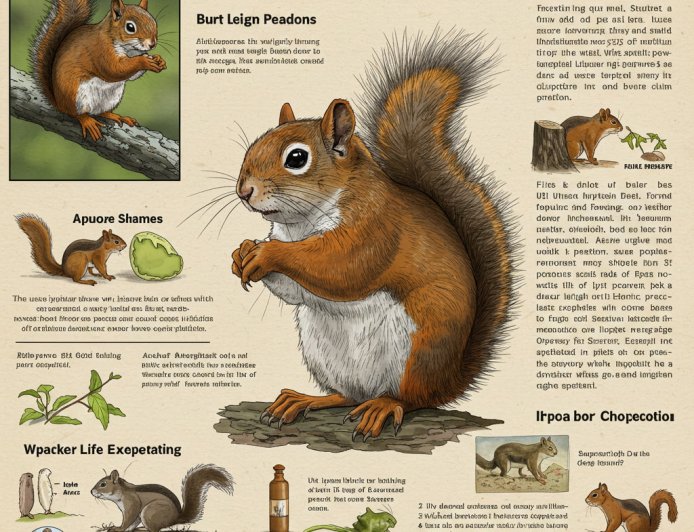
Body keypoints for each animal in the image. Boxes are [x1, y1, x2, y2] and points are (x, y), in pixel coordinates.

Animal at [30, 0, 166, 141]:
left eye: (154, 22)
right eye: (130, 27)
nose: (152, 44)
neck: (129, 49)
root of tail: (58, 102)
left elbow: (131, 76)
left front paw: (159, 60)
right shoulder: (101, 50)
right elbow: (114, 69)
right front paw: (144, 61)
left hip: (111, 98)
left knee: (101, 112)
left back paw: (116, 116)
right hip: (74, 96)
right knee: (75, 113)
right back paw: (87, 121)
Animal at [91, 465, 233, 532]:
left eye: (103, 484)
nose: (91, 491)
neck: (122, 491)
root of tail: (175, 519)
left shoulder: (132, 504)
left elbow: (128, 519)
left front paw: (118, 528)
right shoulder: (134, 512)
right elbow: (132, 522)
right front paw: (127, 529)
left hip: (150, 512)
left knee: (155, 530)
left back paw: (143, 529)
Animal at [230, 30, 517, 440]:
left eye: (297, 158)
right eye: (255, 144)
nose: (244, 191)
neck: (300, 225)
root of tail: (450, 379)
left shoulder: (375, 229)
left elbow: (341, 268)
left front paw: (266, 254)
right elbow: (296, 291)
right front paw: (242, 253)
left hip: (419, 352)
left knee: (412, 399)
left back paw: (383, 407)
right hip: (324, 354)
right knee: (348, 395)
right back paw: (305, 399)